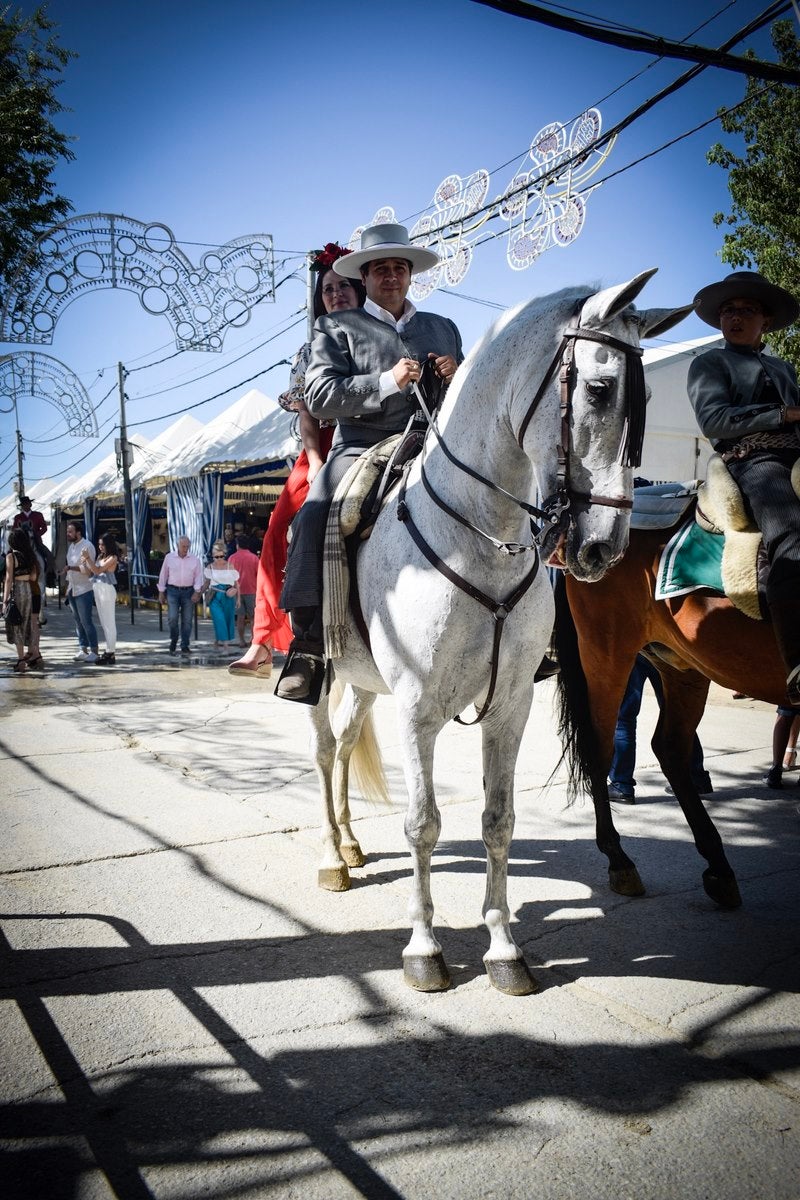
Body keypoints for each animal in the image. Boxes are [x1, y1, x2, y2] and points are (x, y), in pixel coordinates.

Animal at [307, 272, 690, 993]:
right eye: (600, 388)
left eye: (648, 398)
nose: (603, 548)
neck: (479, 537)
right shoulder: (418, 710)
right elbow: (423, 824)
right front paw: (424, 949)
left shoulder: (510, 707)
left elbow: (498, 822)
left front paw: (505, 948)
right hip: (313, 677)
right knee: (321, 750)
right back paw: (332, 857)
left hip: (364, 682)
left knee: (343, 744)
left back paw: (349, 842)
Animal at [554, 525, 786, 907]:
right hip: (608, 654)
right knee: (602, 749)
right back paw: (620, 860)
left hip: (682, 666)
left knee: (670, 747)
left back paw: (718, 865)